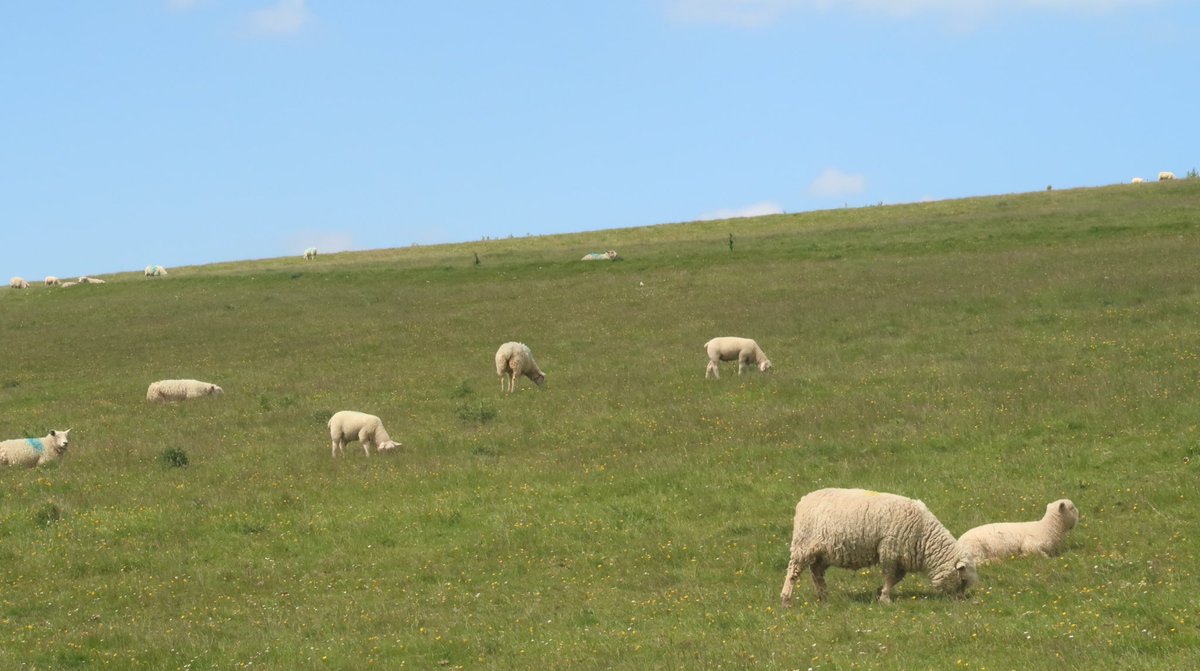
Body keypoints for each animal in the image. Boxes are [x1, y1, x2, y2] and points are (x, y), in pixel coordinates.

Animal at [782, 487, 979, 609]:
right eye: (962, 581)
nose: (960, 602)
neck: (924, 536)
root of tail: (805, 499)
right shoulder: (889, 551)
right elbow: (889, 576)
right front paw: (885, 598)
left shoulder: (901, 556)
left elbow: (897, 578)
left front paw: (879, 593)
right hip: (803, 545)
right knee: (793, 572)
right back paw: (786, 600)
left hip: (824, 553)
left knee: (816, 572)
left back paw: (824, 596)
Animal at [950, 499, 1084, 566]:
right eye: (1072, 508)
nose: (1080, 516)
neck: (1048, 527)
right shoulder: (1030, 545)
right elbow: (1040, 555)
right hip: (975, 548)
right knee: (977, 562)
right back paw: (995, 561)